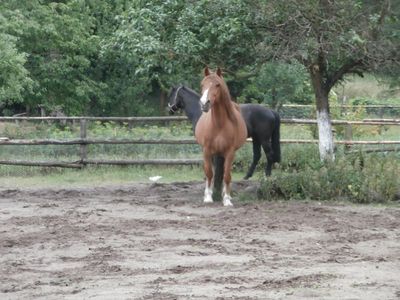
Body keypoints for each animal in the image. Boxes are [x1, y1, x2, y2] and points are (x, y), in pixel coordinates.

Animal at [195, 67, 247, 205]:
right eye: (202, 84)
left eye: (217, 85)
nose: (204, 104)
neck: (219, 124)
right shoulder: (207, 151)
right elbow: (209, 173)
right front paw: (208, 197)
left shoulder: (230, 152)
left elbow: (227, 175)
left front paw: (227, 199)